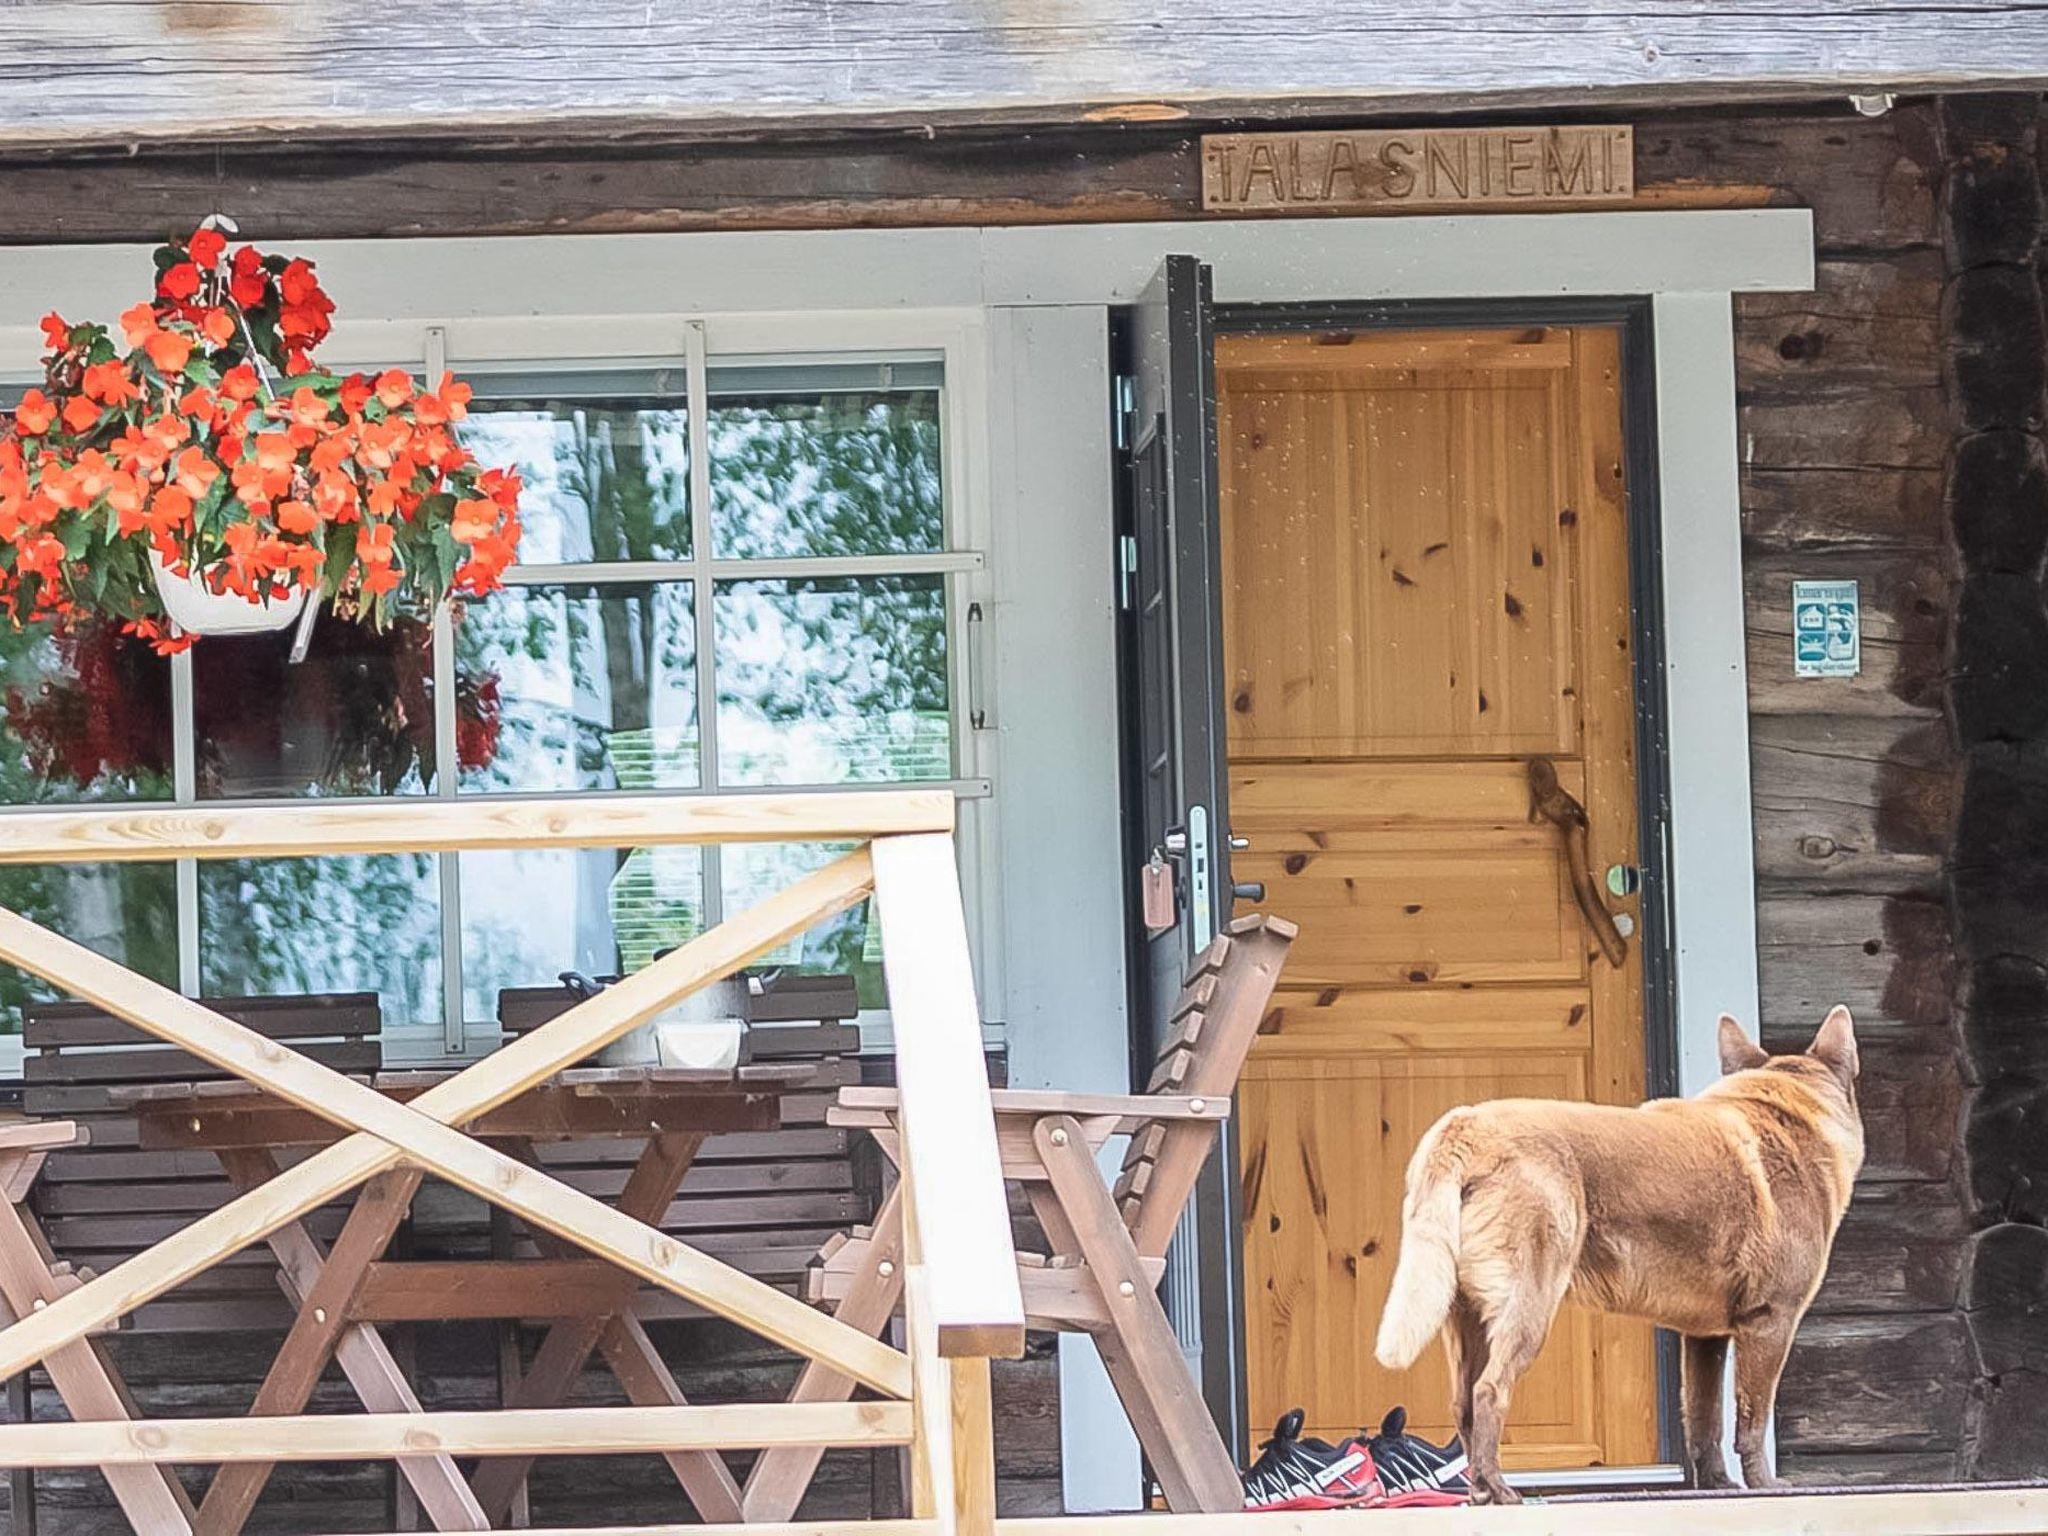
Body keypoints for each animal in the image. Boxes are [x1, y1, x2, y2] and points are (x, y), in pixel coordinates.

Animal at [1368, 1011, 1867, 1507]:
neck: (1784, 1112)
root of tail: (1465, 1125)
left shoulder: (1703, 1337)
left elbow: (1703, 1420)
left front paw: (1717, 1486)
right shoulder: (1771, 1321)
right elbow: (1752, 1421)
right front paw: (1763, 1486)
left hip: (1464, 1315)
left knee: (1465, 1402)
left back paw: (1479, 1491)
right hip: (1530, 1306)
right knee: (1490, 1391)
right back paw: (1502, 1490)